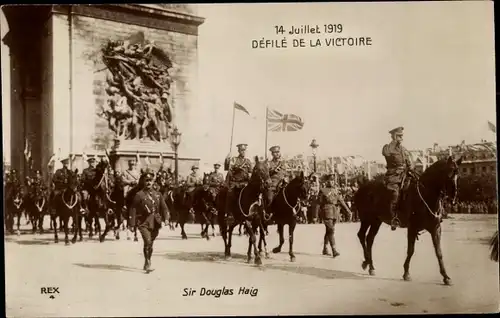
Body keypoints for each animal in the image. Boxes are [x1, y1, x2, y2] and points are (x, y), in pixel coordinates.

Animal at [354, 157, 462, 286]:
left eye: (457, 174)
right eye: (449, 174)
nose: (454, 198)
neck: (425, 196)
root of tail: (362, 188)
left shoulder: (435, 229)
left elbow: (439, 252)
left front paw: (446, 276)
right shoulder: (412, 228)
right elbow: (411, 251)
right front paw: (406, 273)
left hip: (376, 221)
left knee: (369, 239)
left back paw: (371, 266)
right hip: (366, 219)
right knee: (361, 235)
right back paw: (366, 262)